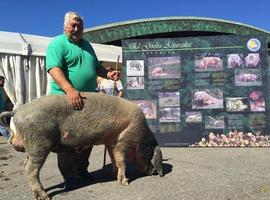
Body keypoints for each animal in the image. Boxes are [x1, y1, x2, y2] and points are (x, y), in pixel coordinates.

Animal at [0, 92, 162, 200]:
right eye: (151, 153)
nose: (155, 172)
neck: (141, 138)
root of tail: (18, 111)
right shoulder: (123, 141)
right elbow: (122, 161)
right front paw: (125, 183)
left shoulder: (111, 142)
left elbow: (114, 160)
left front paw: (114, 176)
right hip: (38, 143)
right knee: (31, 169)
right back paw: (45, 196)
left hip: (32, 146)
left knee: (26, 165)